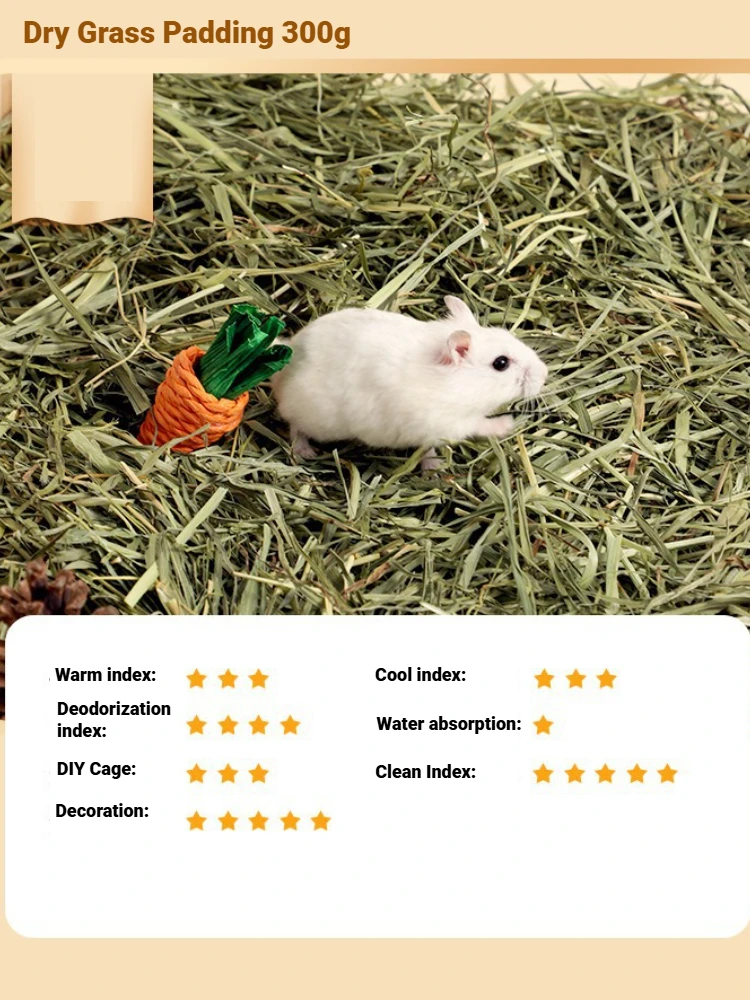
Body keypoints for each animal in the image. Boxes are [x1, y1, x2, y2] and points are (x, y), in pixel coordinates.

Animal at [271, 296, 548, 470]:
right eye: (501, 363)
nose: (545, 374)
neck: (458, 386)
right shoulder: (448, 423)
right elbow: (480, 425)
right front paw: (509, 424)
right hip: (313, 418)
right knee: (294, 426)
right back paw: (305, 452)